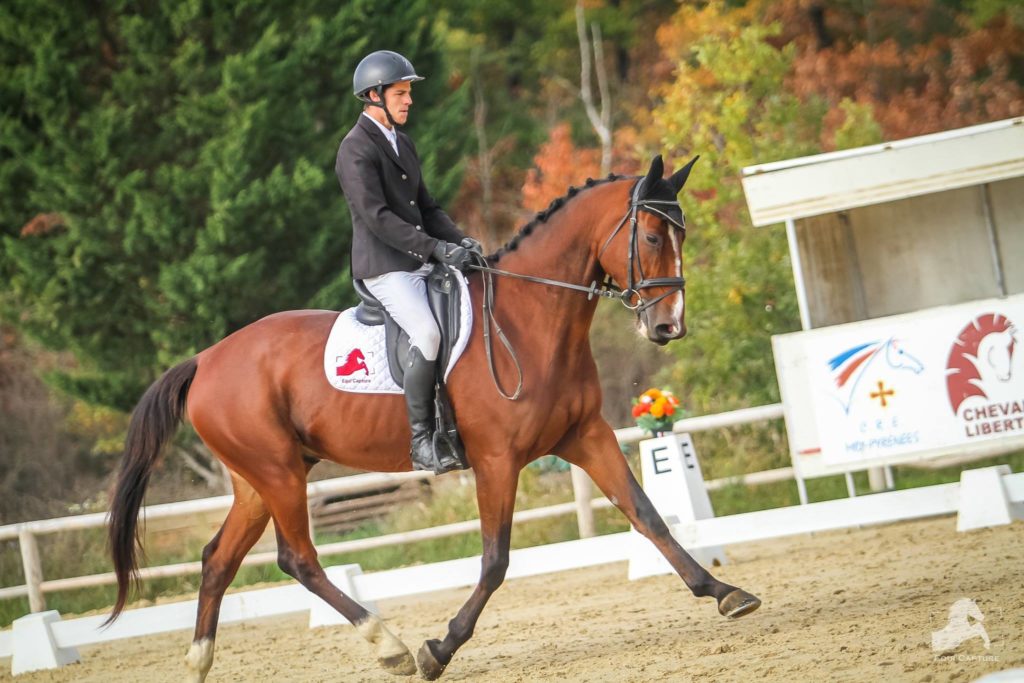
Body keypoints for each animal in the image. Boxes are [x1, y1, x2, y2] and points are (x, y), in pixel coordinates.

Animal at [105, 154, 761, 683]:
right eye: (649, 236)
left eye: (680, 233)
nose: (668, 326)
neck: (531, 317)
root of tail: (206, 360)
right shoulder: (497, 460)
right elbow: (495, 560)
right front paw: (437, 648)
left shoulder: (586, 437)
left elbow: (649, 516)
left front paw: (725, 592)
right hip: (278, 473)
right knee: (298, 559)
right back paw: (390, 646)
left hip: (257, 479)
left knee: (217, 559)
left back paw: (199, 663)